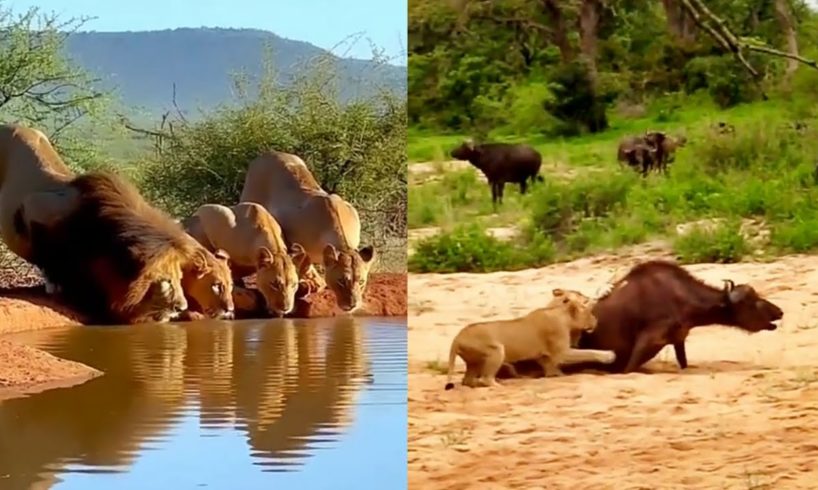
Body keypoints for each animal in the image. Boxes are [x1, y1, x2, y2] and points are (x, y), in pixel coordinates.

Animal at [239, 150, 375, 312]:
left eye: (361, 281)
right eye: (341, 281)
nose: (352, 305)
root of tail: (269, 153)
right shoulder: (296, 243)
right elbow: (304, 265)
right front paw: (311, 285)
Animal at [444, 289, 616, 390]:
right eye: (589, 312)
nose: (596, 321)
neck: (561, 313)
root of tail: (457, 338)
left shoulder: (543, 356)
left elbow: (551, 369)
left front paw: (556, 375)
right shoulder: (561, 353)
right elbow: (588, 352)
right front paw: (609, 355)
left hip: (474, 362)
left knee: (467, 380)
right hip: (496, 350)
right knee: (486, 379)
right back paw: (499, 385)